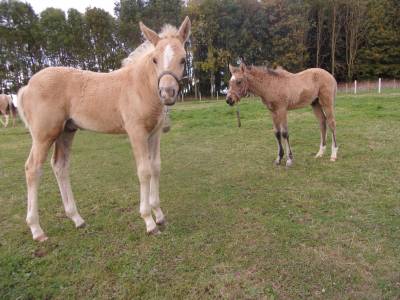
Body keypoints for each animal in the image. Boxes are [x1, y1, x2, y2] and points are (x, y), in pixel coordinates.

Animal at [19, 17, 192, 240]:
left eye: (183, 59)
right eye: (155, 59)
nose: (167, 92)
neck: (141, 86)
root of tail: (27, 86)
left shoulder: (154, 133)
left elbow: (155, 167)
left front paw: (159, 214)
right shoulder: (136, 132)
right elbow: (144, 171)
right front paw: (149, 221)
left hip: (66, 131)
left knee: (60, 166)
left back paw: (77, 219)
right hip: (44, 135)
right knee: (32, 168)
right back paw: (37, 229)